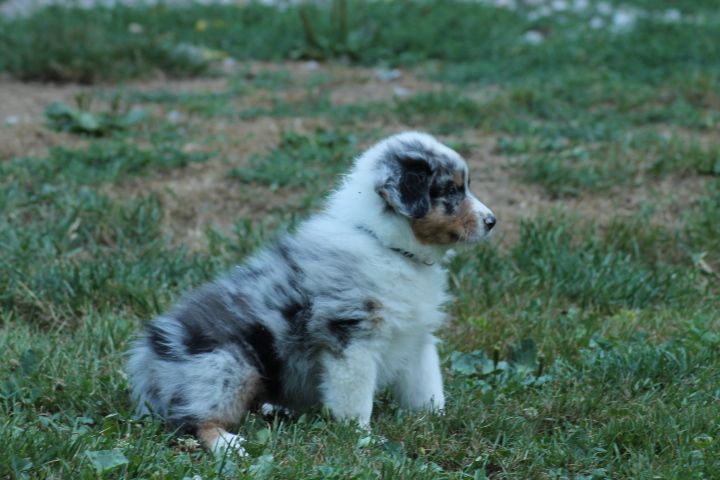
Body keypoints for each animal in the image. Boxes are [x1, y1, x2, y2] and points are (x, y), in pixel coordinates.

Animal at [128, 131, 496, 454]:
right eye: (450, 190)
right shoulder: (352, 341)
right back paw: (230, 445)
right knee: (191, 422)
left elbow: (427, 387)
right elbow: (356, 401)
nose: (492, 221)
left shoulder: (417, 337)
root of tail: (149, 355)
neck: (388, 246)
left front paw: (437, 420)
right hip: (226, 368)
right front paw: (363, 439)